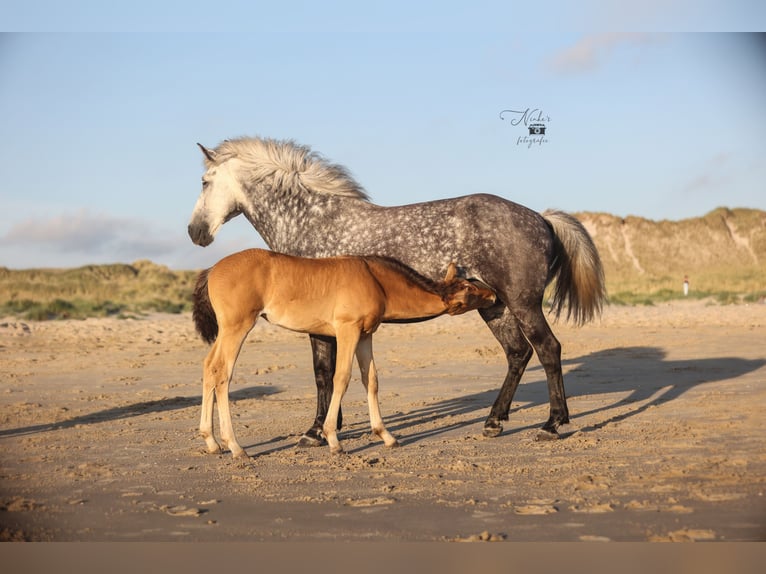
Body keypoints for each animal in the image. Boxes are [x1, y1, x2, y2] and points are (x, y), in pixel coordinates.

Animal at [192, 248, 497, 458]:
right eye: (468, 287)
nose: (493, 293)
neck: (375, 280)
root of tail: (212, 269)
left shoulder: (365, 336)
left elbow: (370, 380)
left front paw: (386, 435)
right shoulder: (347, 331)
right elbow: (341, 378)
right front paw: (333, 440)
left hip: (227, 331)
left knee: (208, 367)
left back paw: (211, 441)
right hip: (238, 327)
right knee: (222, 373)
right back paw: (235, 446)